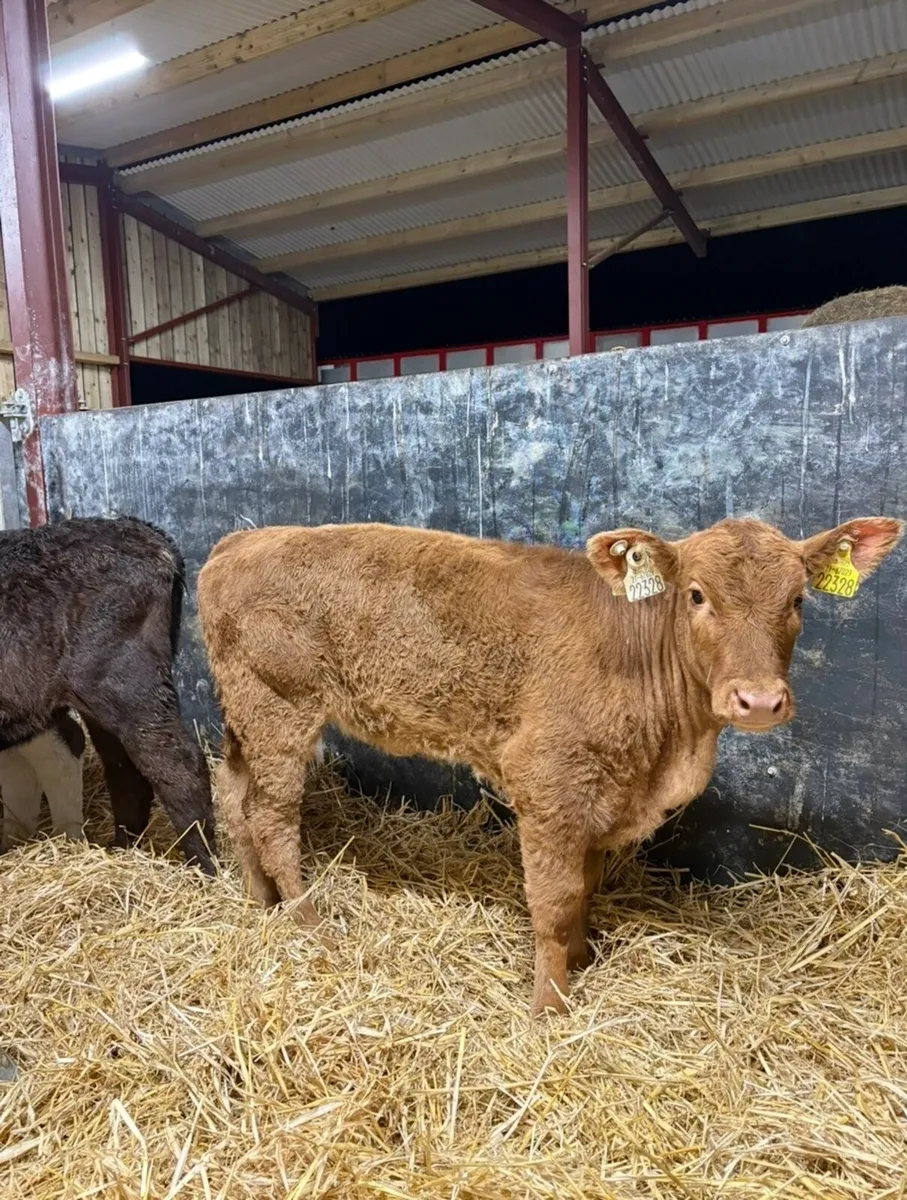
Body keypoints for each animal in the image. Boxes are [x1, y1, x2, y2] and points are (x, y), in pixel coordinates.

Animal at [196, 516, 901, 1015]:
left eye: (799, 600)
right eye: (697, 595)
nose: (757, 700)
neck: (668, 752)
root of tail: (241, 539)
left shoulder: (597, 791)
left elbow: (585, 884)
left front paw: (583, 958)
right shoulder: (549, 782)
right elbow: (555, 897)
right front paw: (550, 1004)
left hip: (243, 718)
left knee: (233, 796)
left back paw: (259, 902)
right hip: (278, 707)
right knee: (271, 815)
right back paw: (310, 924)